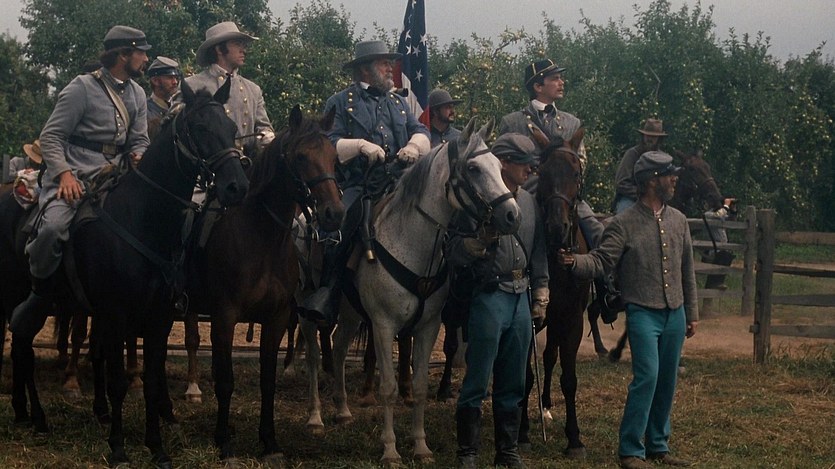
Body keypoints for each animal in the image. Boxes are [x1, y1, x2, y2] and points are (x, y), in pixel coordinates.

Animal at [6, 78, 249, 468]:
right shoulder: (116, 314)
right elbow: (119, 380)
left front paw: (157, 447)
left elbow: (151, 379)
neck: (143, 219)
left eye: (230, 127)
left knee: (22, 345)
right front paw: (119, 448)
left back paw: (29, 415)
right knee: (23, 346)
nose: (236, 187)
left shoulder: (159, 317)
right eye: (199, 128)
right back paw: (35, 416)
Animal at [184, 105, 344, 464]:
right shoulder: (225, 317)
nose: (333, 213)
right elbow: (226, 381)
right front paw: (224, 443)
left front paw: (269, 442)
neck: (261, 238)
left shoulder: (276, 319)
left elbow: (267, 381)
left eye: (333, 157)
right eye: (301, 156)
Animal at [300, 119, 521, 465]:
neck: (411, 242)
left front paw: (420, 446)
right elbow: (389, 387)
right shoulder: (383, 325)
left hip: (350, 313)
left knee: (338, 349)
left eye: (498, 167)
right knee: (312, 355)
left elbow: (418, 387)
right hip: (309, 310)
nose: (512, 215)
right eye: (473, 168)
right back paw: (315, 418)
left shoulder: (427, 326)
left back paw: (343, 410)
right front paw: (390, 450)